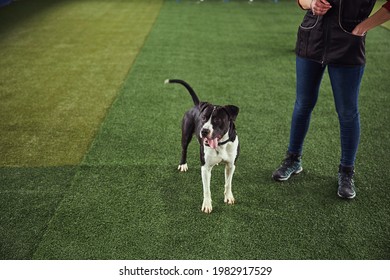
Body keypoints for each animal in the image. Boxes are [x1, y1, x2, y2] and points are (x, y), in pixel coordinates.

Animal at [164, 79, 238, 214]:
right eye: (203, 118)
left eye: (218, 120)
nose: (204, 131)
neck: (221, 145)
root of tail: (196, 105)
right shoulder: (205, 168)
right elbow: (207, 189)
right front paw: (207, 205)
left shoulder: (231, 165)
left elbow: (228, 183)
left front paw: (229, 197)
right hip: (186, 135)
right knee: (184, 149)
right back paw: (183, 164)